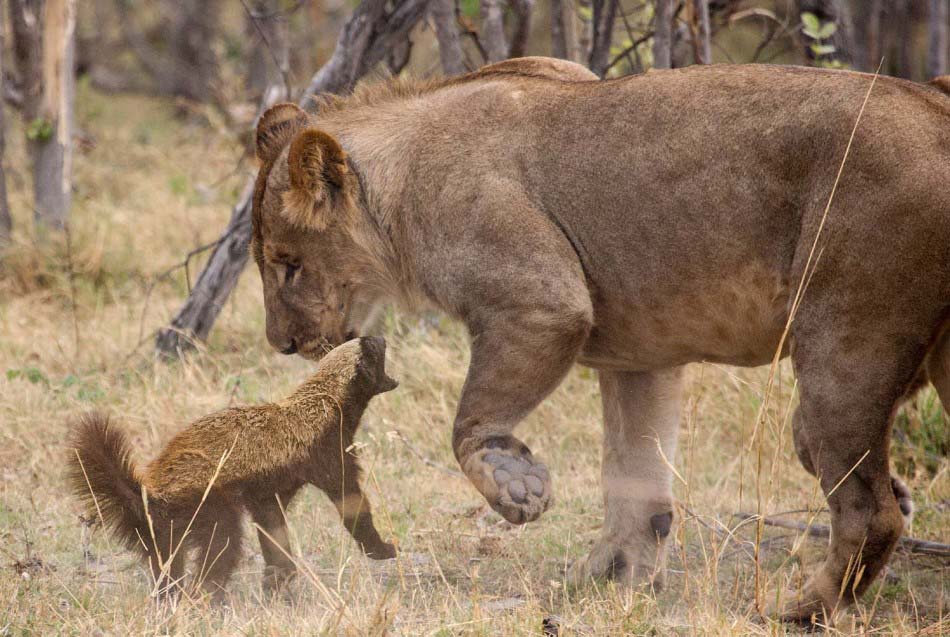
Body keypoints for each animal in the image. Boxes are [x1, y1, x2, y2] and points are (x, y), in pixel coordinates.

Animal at [68, 337, 397, 600]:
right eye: (373, 349)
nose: (381, 336)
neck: (327, 399)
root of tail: (147, 492)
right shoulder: (328, 452)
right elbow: (351, 502)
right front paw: (382, 549)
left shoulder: (269, 490)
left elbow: (272, 527)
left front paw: (278, 576)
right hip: (208, 504)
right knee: (221, 546)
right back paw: (206, 597)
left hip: (162, 533)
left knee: (166, 565)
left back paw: (170, 598)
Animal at [249, 57, 950, 622]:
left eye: (288, 264)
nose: (281, 343)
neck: (398, 190)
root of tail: (935, 109)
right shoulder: (641, 353)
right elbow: (635, 478)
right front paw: (608, 578)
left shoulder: (542, 302)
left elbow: (470, 422)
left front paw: (516, 487)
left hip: (845, 341)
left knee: (868, 508)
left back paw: (799, 610)